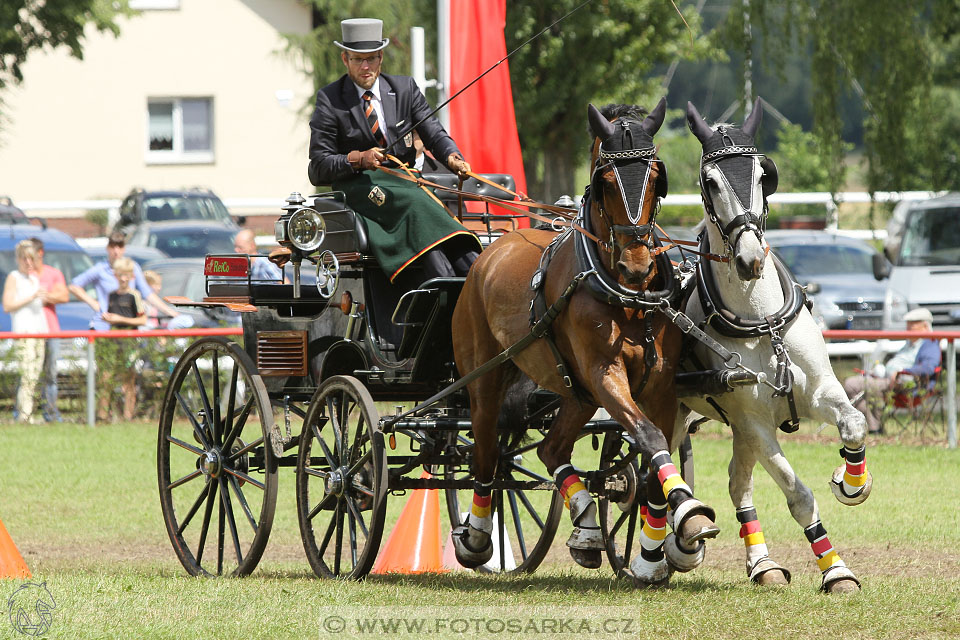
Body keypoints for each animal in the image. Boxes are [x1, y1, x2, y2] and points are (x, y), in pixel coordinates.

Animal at [452, 100, 720, 584]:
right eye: (606, 182)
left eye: (656, 177)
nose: (637, 265)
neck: (627, 296)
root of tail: (489, 251)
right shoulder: (605, 373)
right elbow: (649, 435)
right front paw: (686, 513)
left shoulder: (659, 383)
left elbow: (654, 455)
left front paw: (659, 545)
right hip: (486, 378)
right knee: (485, 452)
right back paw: (478, 537)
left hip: (575, 392)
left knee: (550, 448)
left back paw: (587, 530)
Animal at [680, 99, 872, 596]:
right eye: (710, 182)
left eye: (763, 174)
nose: (750, 260)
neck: (761, 318)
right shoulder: (755, 421)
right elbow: (797, 493)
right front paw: (836, 570)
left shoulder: (817, 390)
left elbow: (854, 425)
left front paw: (851, 482)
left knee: (738, 484)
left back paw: (762, 564)